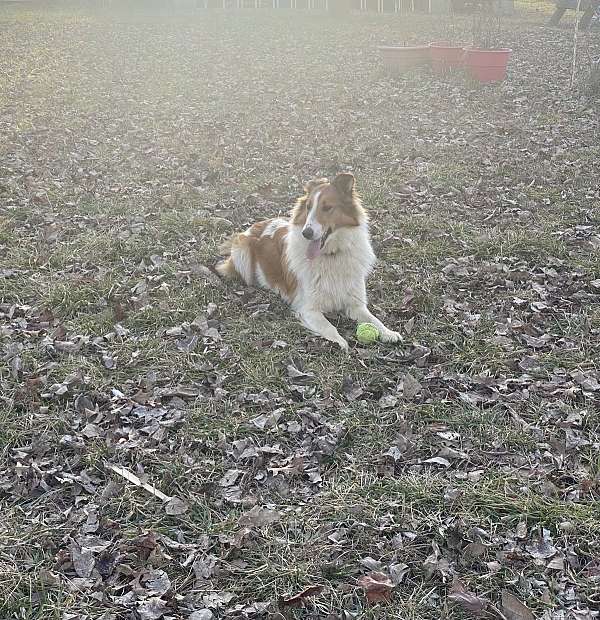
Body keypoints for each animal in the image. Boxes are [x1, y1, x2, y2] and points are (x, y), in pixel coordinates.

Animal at [217, 172, 404, 352]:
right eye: (308, 207)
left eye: (327, 208)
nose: (306, 233)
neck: (330, 255)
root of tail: (257, 224)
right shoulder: (308, 309)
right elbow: (329, 327)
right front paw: (339, 342)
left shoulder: (356, 304)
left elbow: (374, 319)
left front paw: (388, 332)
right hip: (242, 254)